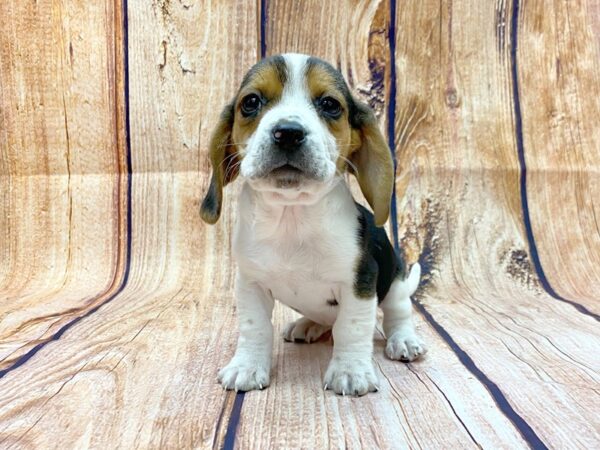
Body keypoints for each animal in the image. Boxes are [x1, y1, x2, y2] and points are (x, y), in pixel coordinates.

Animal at [203, 53, 426, 398]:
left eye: (330, 105)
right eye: (250, 102)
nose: (288, 133)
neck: (292, 216)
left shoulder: (360, 282)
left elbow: (351, 327)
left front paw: (350, 371)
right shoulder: (250, 284)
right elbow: (254, 328)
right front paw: (247, 366)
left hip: (396, 283)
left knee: (397, 313)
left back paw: (403, 340)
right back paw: (309, 324)